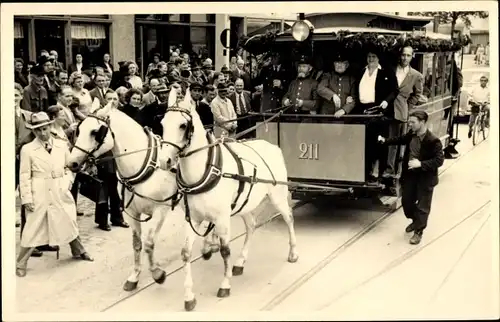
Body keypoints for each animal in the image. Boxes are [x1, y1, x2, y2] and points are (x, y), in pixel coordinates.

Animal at [66, 102, 188, 292]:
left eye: (95, 132)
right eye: (78, 130)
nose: (72, 163)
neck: (144, 166)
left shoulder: (160, 209)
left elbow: (149, 243)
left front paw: (157, 274)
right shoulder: (132, 213)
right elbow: (137, 244)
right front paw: (134, 277)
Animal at [159, 87, 296, 310]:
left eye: (182, 125)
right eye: (162, 123)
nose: (164, 161)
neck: (204, 171)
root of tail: (271, 146)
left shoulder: (222, 218)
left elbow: (225, 251)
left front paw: (225, 285)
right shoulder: (193, 218)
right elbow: (186, 253)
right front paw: (189, 296)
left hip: (277, 196)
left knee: (289, 218)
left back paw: (293, 252)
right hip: (245, 204)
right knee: (251, 225)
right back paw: (240, 262)